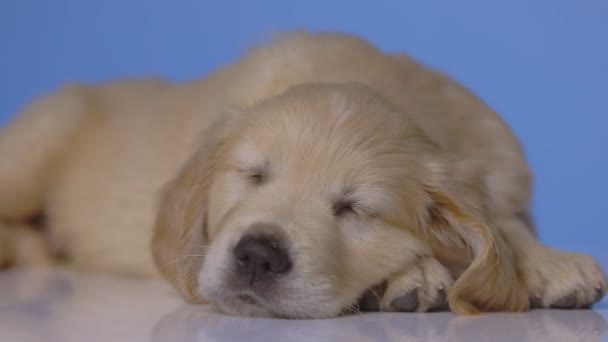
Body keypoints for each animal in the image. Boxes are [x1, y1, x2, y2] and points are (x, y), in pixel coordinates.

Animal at [0, 31, 604, 318]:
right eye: (252, 176)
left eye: (354, 209)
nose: (257, 256)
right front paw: (413, 274)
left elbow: (504, 222)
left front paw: (553, 262)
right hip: (37, 143)